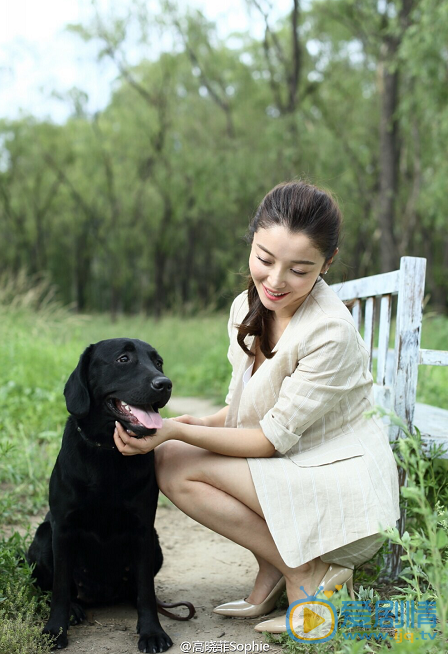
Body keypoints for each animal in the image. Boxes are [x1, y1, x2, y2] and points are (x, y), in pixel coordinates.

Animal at [26, 340, 178, 652]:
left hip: (156, 546)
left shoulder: (143, 529)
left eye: (158, 363)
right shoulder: (63, 528)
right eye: (123, 359)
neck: (108, 452)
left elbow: (146, 589)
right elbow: (59, 588)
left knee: (138, 588)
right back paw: (74, 609)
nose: (165, 383)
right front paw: (55, 630)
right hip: (43, 536)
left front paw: (152, 631)